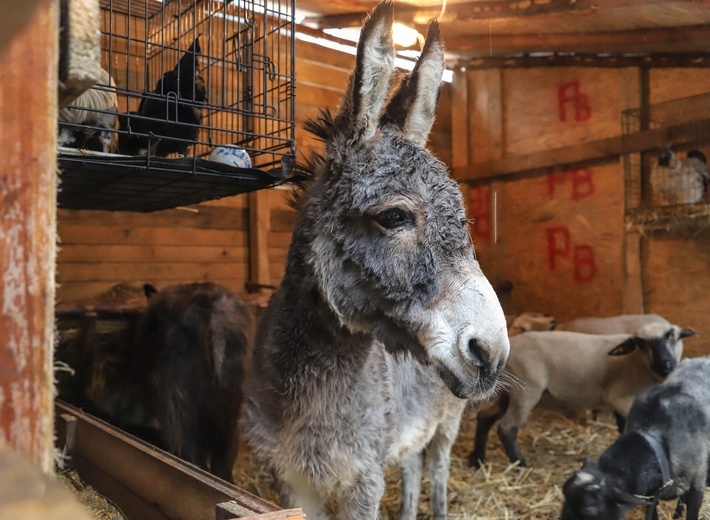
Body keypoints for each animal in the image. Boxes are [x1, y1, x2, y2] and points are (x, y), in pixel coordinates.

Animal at [470, 322, 700, 470]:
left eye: (672, 335)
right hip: (526, 391)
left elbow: (622, 429)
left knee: (485, 417)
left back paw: (477, 460)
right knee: (507, 427)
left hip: (506, 391)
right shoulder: (619, 397)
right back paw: (520, 464)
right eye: (641, 344)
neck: (638, 364)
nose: (665, 364)